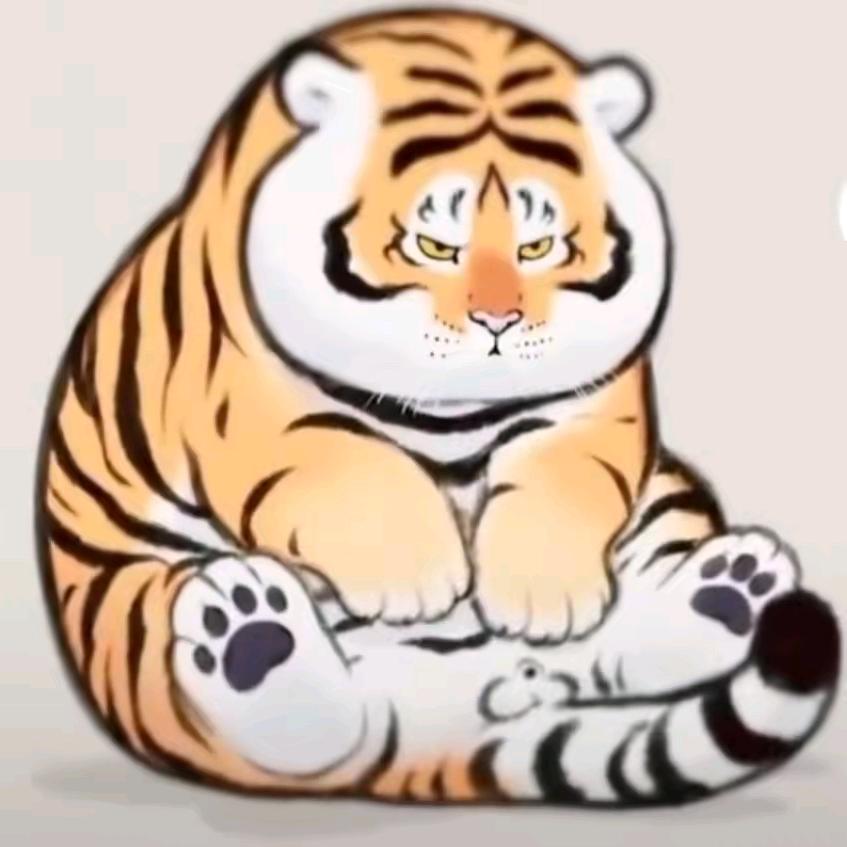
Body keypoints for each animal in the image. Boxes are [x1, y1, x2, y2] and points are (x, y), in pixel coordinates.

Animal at [36, 8, 840, 804]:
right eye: (433, 246)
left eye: (540, 246)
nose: (497, 322)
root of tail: (443, 736)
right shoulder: (248, 401)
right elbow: (342, 462)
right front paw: (416, 581)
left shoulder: (594, 402)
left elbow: (564, 476)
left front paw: (539, 595)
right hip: (137, 610)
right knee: (311, 736)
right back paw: (250, 634)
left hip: (667, 498)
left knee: (601, 656)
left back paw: (728, 590)